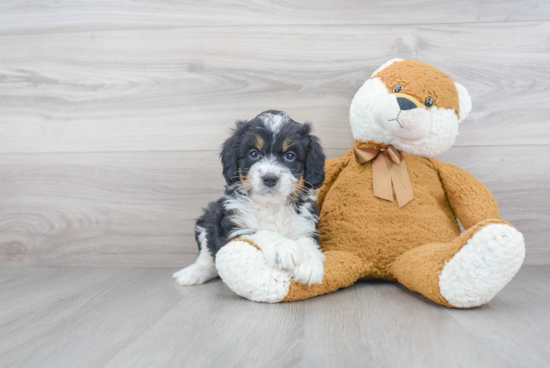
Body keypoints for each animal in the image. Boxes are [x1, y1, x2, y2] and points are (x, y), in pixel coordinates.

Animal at [174, 110, 328, 286]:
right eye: (254, 154)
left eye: (290, 156)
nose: (270, 178)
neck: (271, 205)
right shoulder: (233, 229)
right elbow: (259, 231)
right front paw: (283, 247)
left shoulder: (305, 222)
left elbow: (306, 240)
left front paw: (309, 264)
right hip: (209, 218)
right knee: (207, 256)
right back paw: (193, 272)